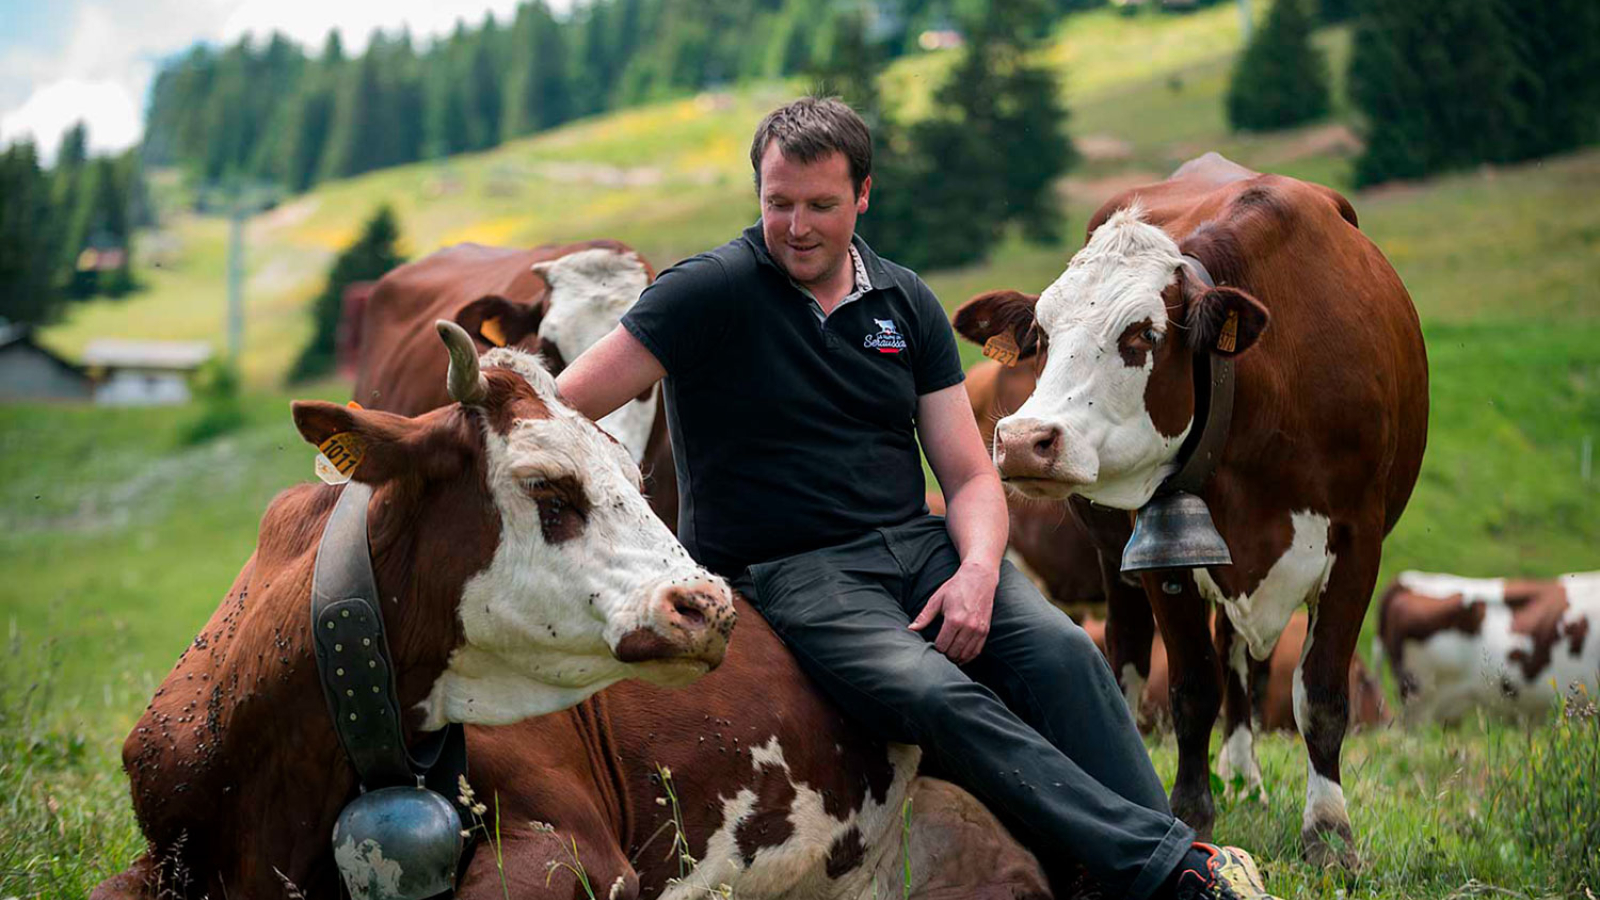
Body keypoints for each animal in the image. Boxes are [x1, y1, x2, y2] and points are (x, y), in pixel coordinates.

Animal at [953, 153, 1433, 864]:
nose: (1022, 440)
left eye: (1142, 334)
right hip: (1114, 556)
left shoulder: (1358, 540)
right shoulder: (1158, 549)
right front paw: (1190, 815)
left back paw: (1243, 772)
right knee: (1128, 656)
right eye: (1039, 333)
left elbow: (1319, 692)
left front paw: (1329, 832)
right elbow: (1191, 688)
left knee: (1241, 659)